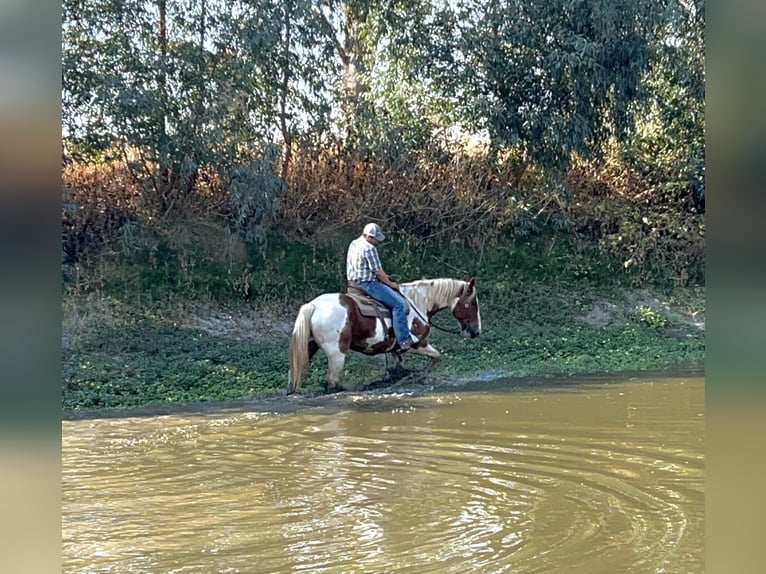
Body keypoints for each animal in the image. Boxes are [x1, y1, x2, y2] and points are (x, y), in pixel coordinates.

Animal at [286, 280, 480, 396]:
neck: (417, 303)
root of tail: (313, 305)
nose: (476, 331)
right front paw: (420, 377)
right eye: (473, 303)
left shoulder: (395, 349)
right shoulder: (416, 343)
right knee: (332, 381)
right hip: (337, 353)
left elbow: (397, 367)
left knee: (294, 373)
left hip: (309, 347)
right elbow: (436, 356)